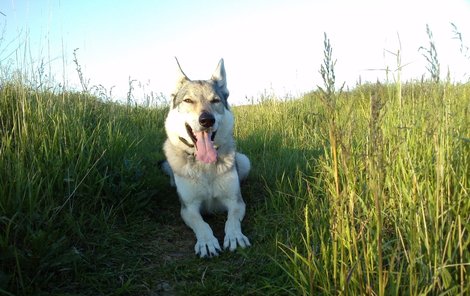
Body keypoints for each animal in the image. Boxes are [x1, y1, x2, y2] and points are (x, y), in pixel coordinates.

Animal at [161, 57, 252, 256]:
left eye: (215, 100)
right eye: (188, 100)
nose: (207, 120)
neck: (205, 166)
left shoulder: (236, 202)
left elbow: (232, 221)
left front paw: (235, 237)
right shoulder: (188, 208)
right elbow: (202, 225)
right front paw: (207, 243)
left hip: (245, 161)